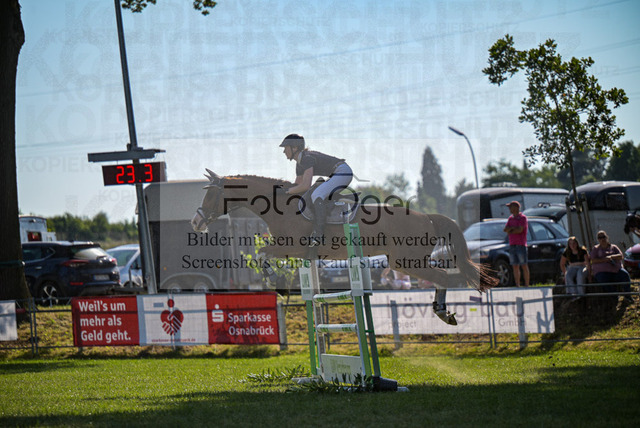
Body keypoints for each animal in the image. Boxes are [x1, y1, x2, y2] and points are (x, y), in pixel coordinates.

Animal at [191, 170, 497, 325]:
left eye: (212, 194)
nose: (196, 222)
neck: (281, 207)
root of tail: (427, 216)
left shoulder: (290, 247)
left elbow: (261, 254)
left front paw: (276, 282)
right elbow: (261, 255)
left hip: (407, 262)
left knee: (443, 276)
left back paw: (443, 313)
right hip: (404, 262)